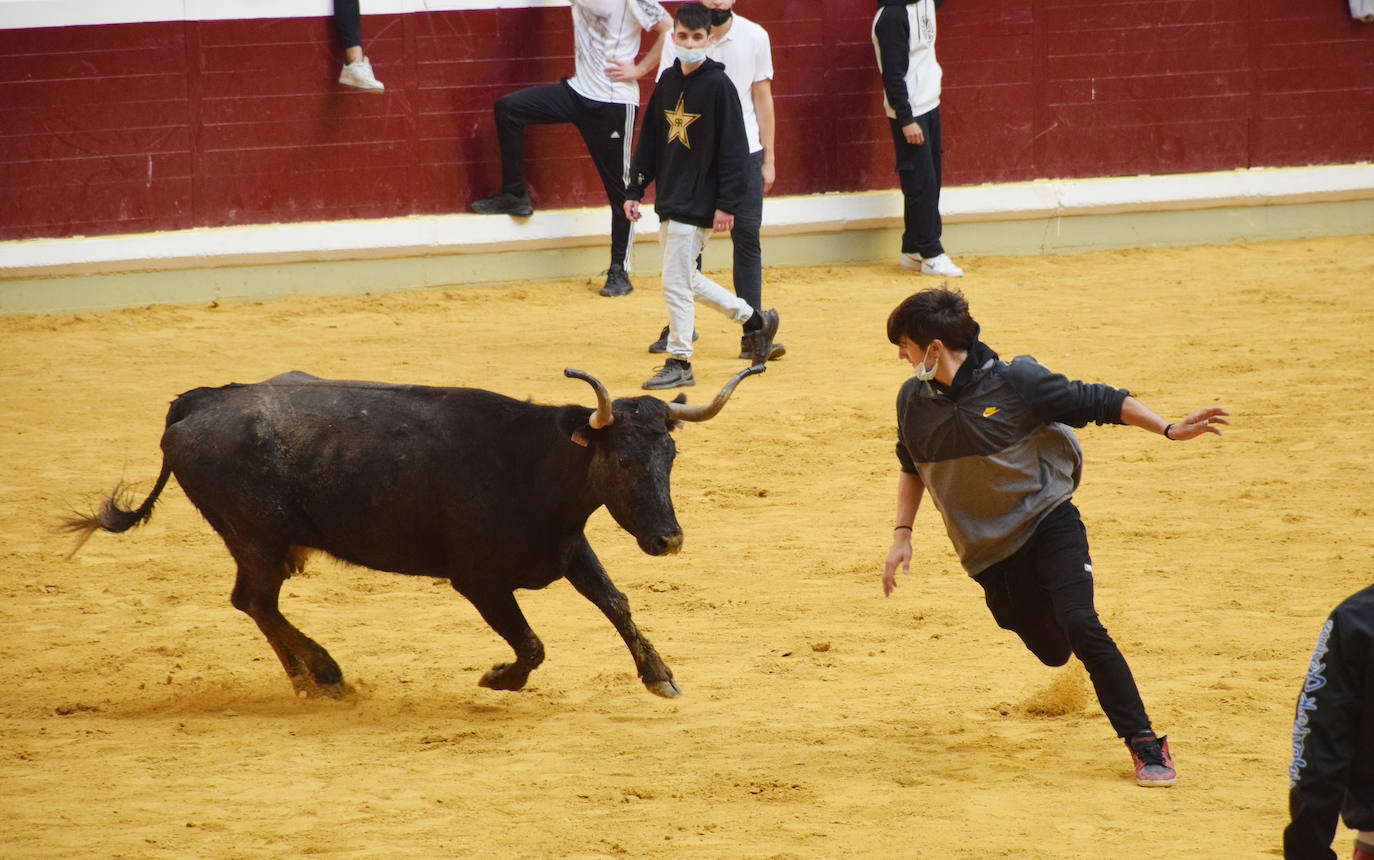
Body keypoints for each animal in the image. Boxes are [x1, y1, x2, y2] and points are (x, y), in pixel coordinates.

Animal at [66, 365, 763, 697]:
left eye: (670, 454)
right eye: (621, 461)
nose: (668, 539)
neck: (531, 463)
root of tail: (199, 402)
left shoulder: (567, 548)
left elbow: (616, 603)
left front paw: (660, 676)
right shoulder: (477, 580)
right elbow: (531, 644)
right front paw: (497, 678)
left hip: (259, 544)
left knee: (253, 604)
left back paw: (305, 679)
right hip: (257, 539)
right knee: (256, 601)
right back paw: (323, 675)